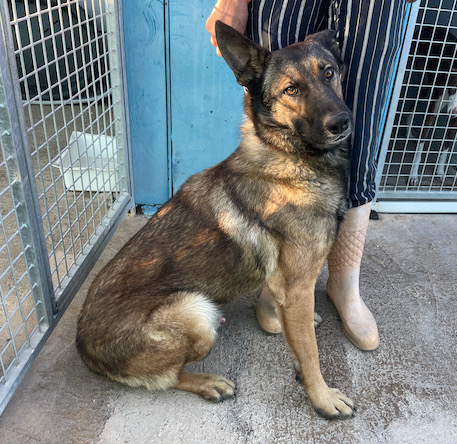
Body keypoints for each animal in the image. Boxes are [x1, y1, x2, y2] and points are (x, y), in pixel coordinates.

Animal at [76, 21, 355, 419]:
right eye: (291, 89)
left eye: (328, 72)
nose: (341, 122)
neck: (285, 155)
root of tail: (83, 346)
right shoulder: (298, 286)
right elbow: (311, 352)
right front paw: (322, 396)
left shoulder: (289, 287)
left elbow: (295, 331)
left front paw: (280, 326)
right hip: (196, 310)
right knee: (168, 376)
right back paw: (207, 382)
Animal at [408, 26, 457, 186]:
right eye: (454, 88)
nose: (453, 112)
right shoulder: (432, 113)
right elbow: (420, 147)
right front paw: (413, 175)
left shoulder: (455, 122)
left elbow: (446, 147)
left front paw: (440, 171)